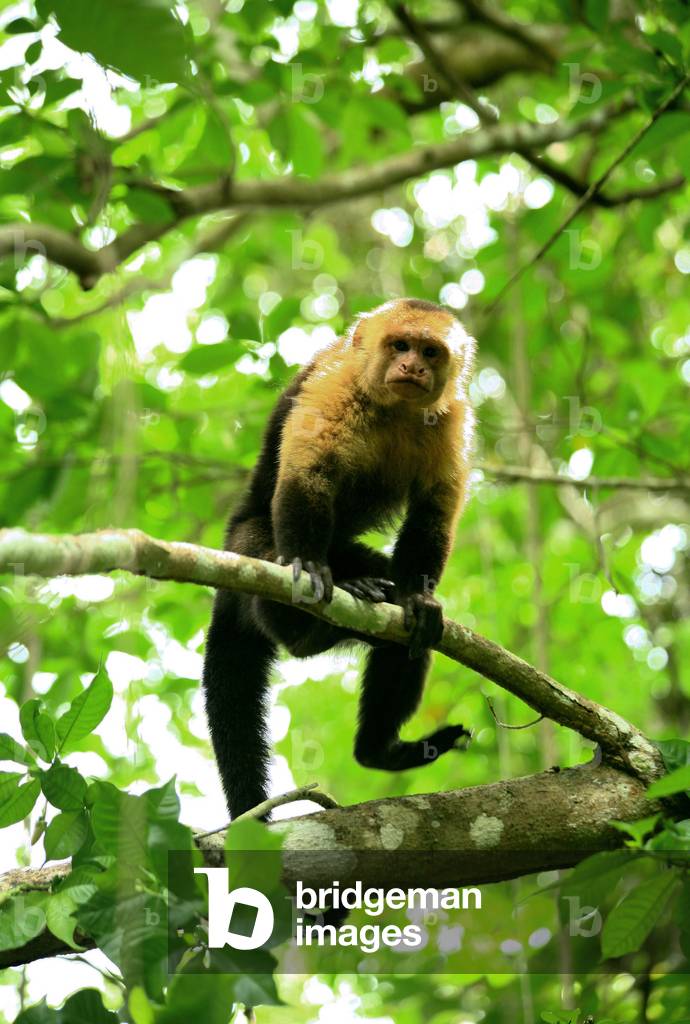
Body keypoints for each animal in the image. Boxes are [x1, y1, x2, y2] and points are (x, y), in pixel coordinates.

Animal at [202, 298, 476, 819]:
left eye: (430, 352)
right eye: (400, 345)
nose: (412, 367)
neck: (394, 409)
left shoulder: (453, 417)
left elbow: (433, 515)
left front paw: (417, 599)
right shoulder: (333, 384)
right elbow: (307, 475)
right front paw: (309, 568)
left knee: (400, 634)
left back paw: (378, 749)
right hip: (245, 543)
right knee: (269, 564)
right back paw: (305, 626)